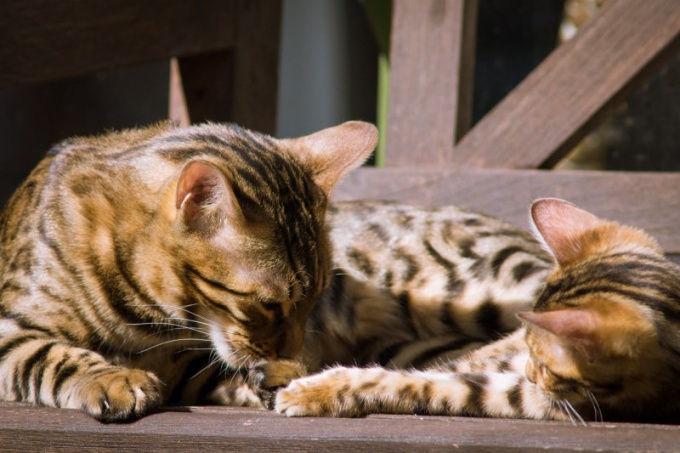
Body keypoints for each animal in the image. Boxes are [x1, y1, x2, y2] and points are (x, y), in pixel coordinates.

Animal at [274, 199, 680, 424]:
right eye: (536, 355)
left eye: (546, 363)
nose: (529, 371)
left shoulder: (533, 396)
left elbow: (417, 382)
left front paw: (314, 391)